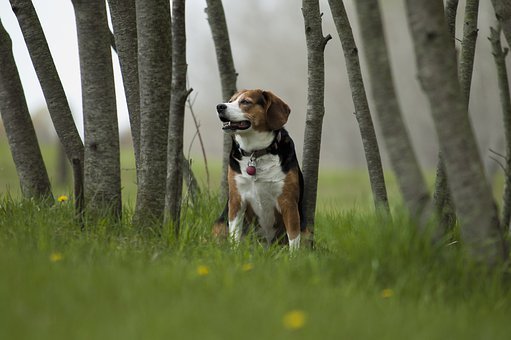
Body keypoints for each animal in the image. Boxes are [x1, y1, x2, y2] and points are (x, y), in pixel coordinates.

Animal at [214, 89, 310, 251]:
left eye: (246, 102)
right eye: (230, 100)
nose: (220, 106)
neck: (256, 153)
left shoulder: (288, 203)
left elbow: (293, 237)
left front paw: (294, 257)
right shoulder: (236, 200)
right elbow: (234, 234)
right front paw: (234, 252)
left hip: (306, 229)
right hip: (219, 224)